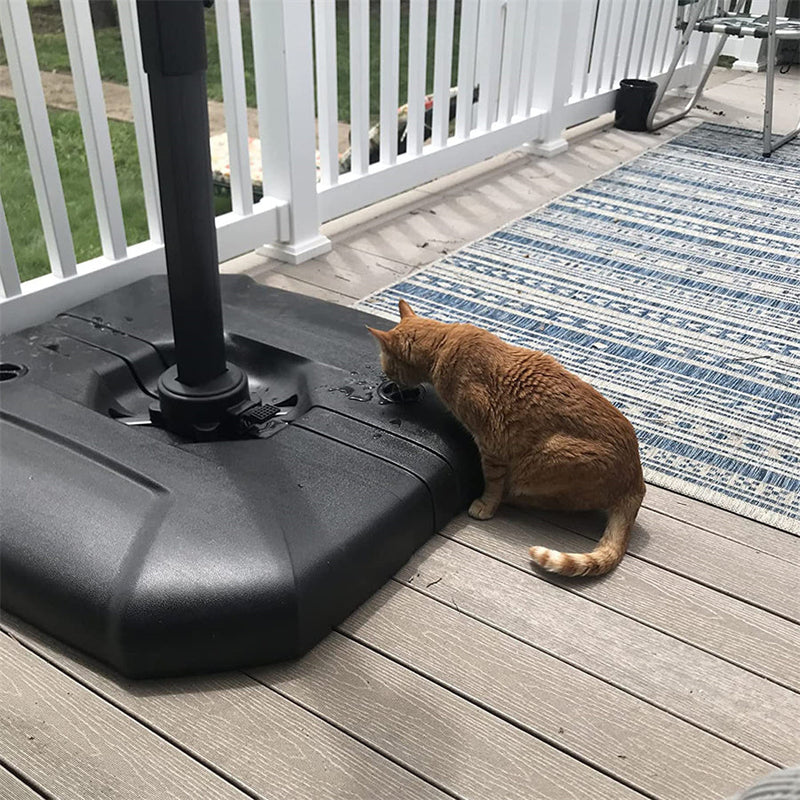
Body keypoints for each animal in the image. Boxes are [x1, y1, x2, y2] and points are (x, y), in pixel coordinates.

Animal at [368, 300, 644, 576]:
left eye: (388, 368)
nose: (390, 381)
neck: (443, 344)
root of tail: (637, 482)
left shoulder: (491, 445)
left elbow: (492, 484)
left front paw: (485, 505)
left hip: (541, 462)